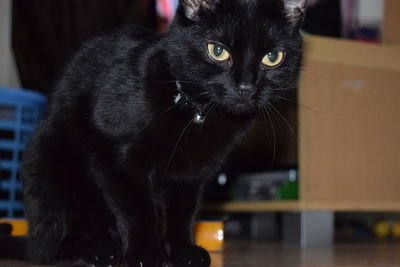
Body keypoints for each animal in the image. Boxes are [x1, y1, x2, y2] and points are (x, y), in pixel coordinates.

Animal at [1, 0, 306, 267]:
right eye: (217, 51)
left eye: (272, 57)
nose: (245, 87)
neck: (195, 112)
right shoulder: (114, 158)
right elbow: (137, 209)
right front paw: (145, 253)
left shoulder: (191, 173)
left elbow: (182, 214)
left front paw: (183, 251)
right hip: (48, 161)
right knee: (49, 244)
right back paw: (94, 251)